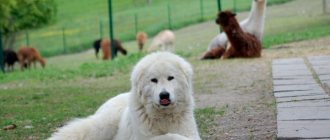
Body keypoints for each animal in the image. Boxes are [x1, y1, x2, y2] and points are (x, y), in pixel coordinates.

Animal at [47, 51, 200, 140]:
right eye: (154, 80)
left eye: (170, 78)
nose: (164, 95)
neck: (163, 117)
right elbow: (169, 136)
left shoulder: (191, 133)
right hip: (103, 124)